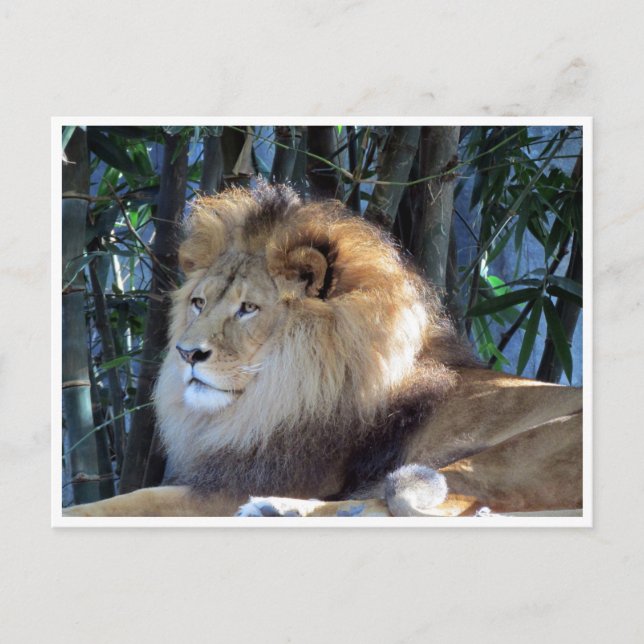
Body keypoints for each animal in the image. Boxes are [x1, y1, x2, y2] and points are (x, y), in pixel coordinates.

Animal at [64, 183, 583, 518]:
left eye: (248, 308)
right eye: (198, 303)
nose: (186, 354)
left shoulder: (245, 481)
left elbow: (131, 501)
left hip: (526, 446)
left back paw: (275, 508)